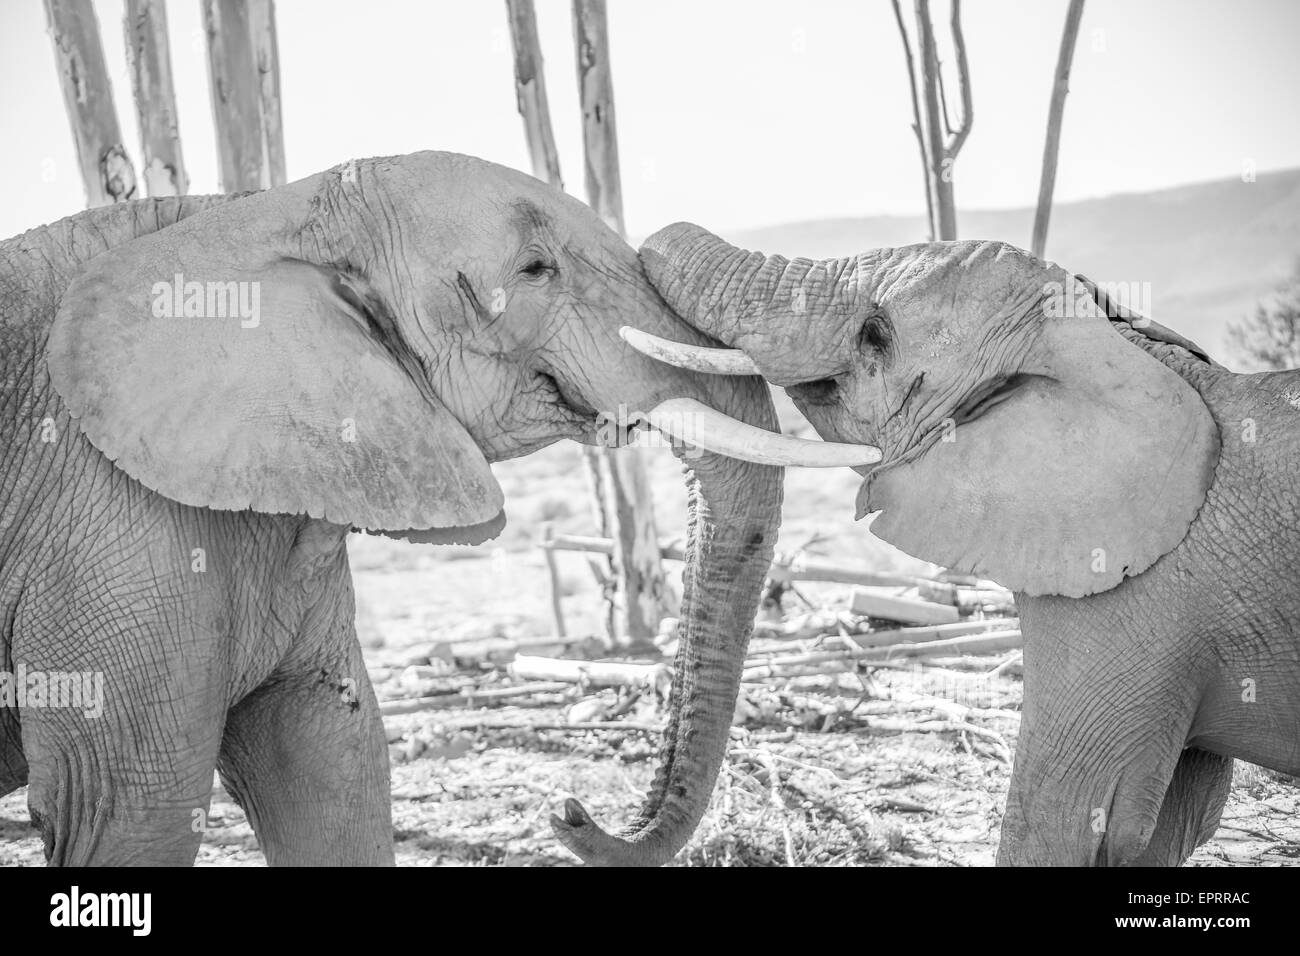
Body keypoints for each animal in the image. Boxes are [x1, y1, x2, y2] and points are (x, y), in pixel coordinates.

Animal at [0, 153, 878, 868]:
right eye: (535, 268)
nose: (569, 809)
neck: (254, 211)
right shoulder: (102, 522)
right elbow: (130, 813)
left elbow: (334, 769)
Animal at [621, 222, 1300, 868]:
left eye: (875, 334)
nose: (575, 819)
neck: (1117, 347)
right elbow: (1172, 823)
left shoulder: (1136, 601)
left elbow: (1059, 823)